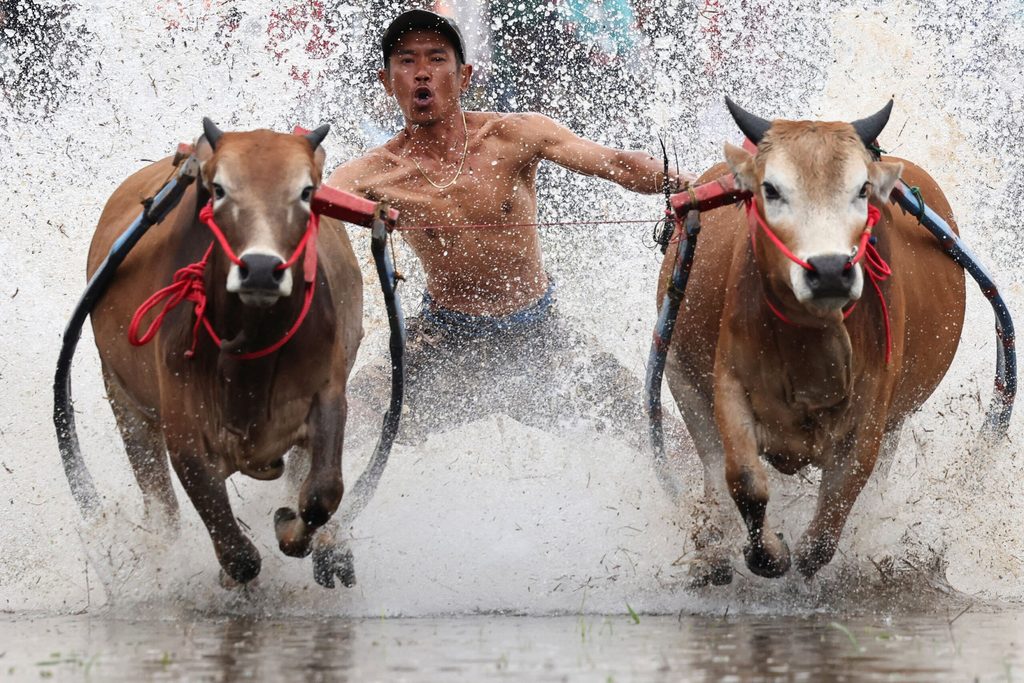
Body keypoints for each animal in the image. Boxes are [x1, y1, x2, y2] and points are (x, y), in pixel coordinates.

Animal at [87, 120, 363, 587]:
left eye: (307, 191)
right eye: (218, 189)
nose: (261, 270)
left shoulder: (328, 393)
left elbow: (321, 494)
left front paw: (292, 529)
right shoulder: (183, 432)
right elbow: (238, 554)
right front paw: (231, 575)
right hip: (125, 401)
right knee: (161, 504)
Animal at [660, 100, 966, 585]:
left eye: (862, 189)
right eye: (771, 188)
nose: (828, 271)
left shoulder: (872, 415)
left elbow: (830, 522)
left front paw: (806, 556)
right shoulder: (728, 385)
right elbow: (744, 482)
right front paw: (767, 555)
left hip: (898, 420)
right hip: (681, 380)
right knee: (711, 468)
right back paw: (712, 557)